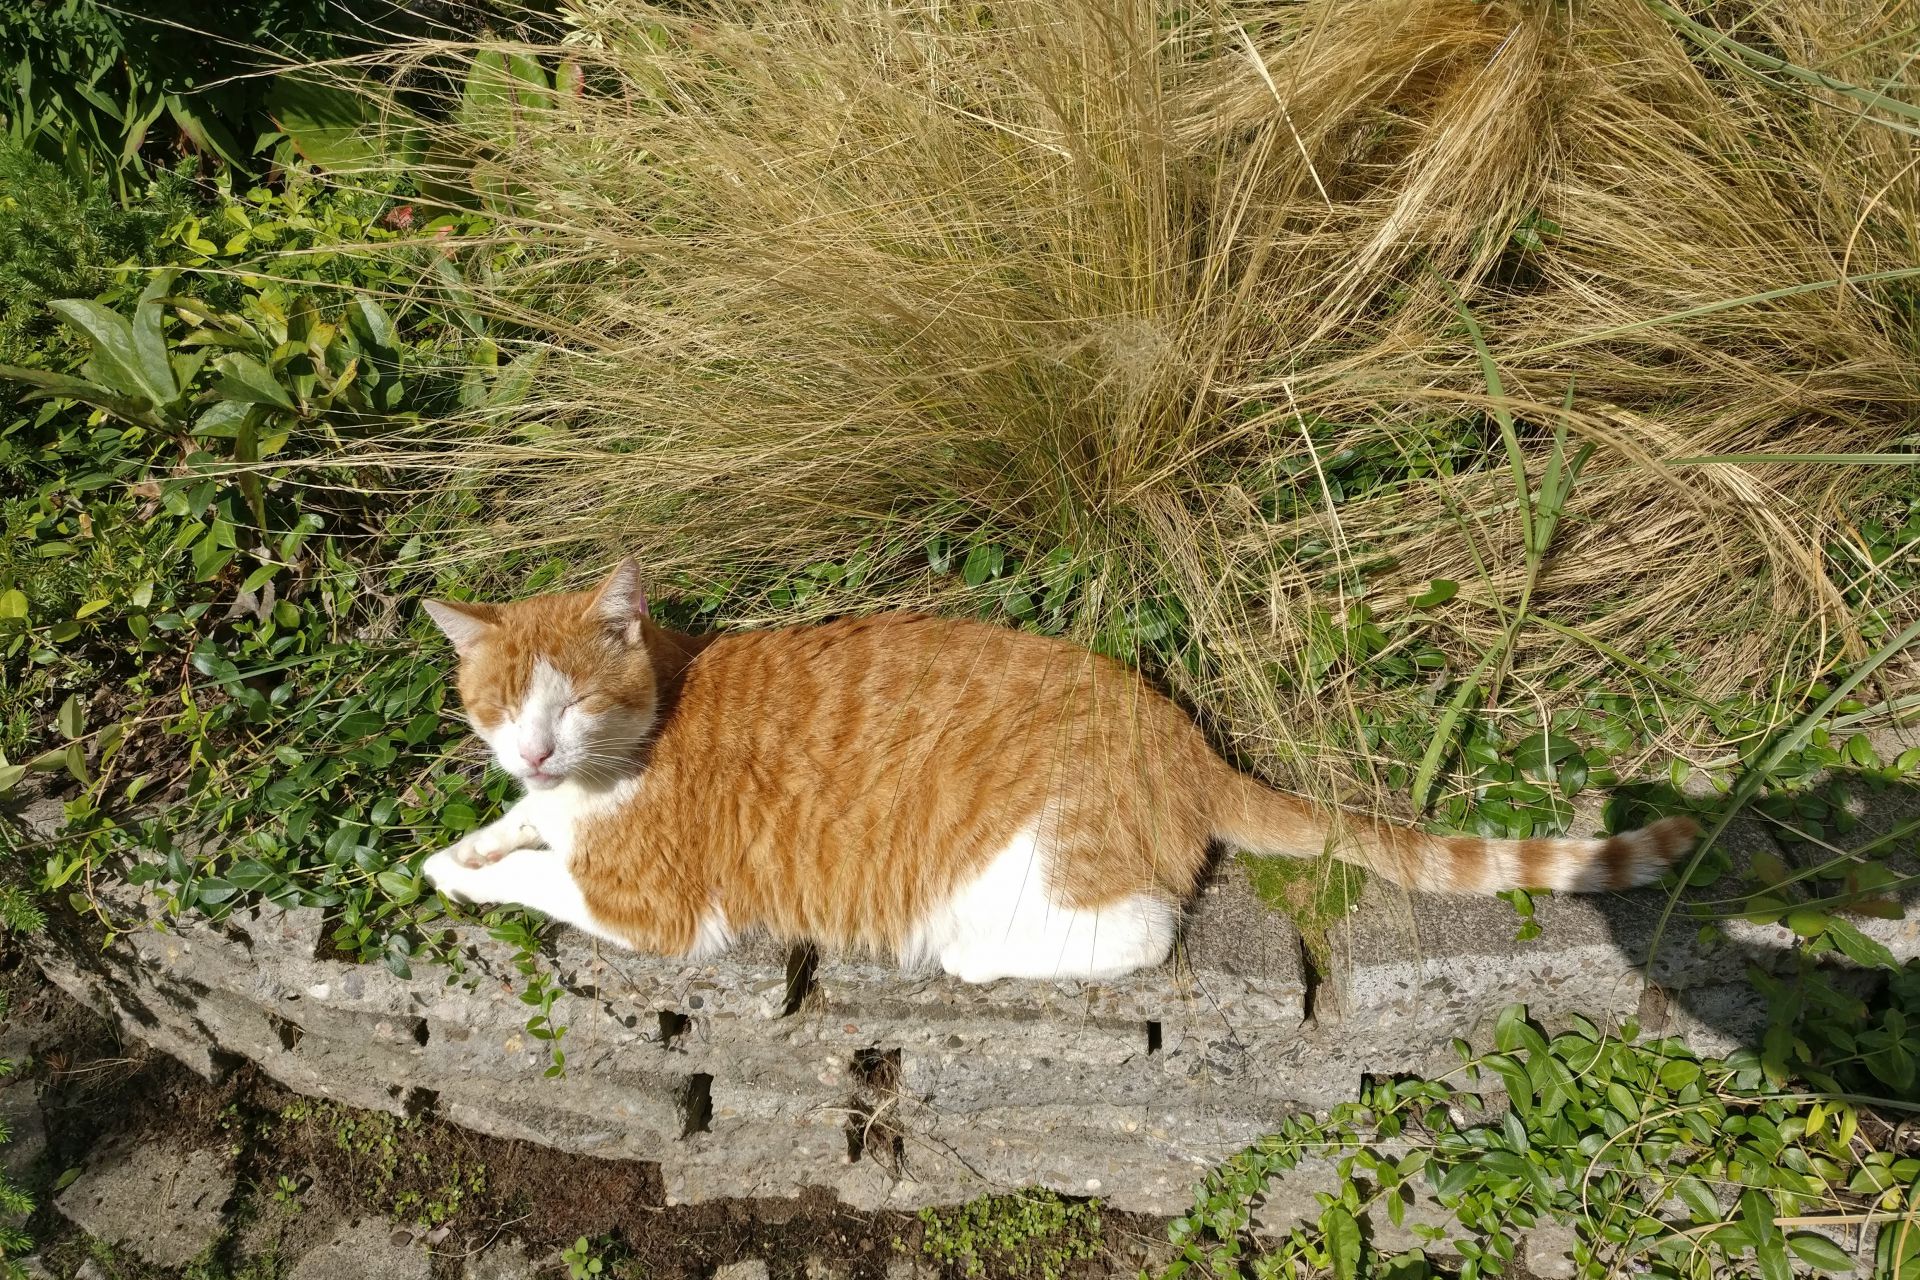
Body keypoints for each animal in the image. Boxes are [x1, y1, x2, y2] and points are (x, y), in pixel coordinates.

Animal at [420, 556, 1697, 982]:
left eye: (573, 701)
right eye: (501, 707)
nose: (533, 748)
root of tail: (1181, 732)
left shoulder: (655, 908)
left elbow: (536, 879)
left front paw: (459, 873)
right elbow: (517, 833)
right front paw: (468, 837)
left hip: (1035, 854)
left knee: (1134, 930)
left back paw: (969, 954)